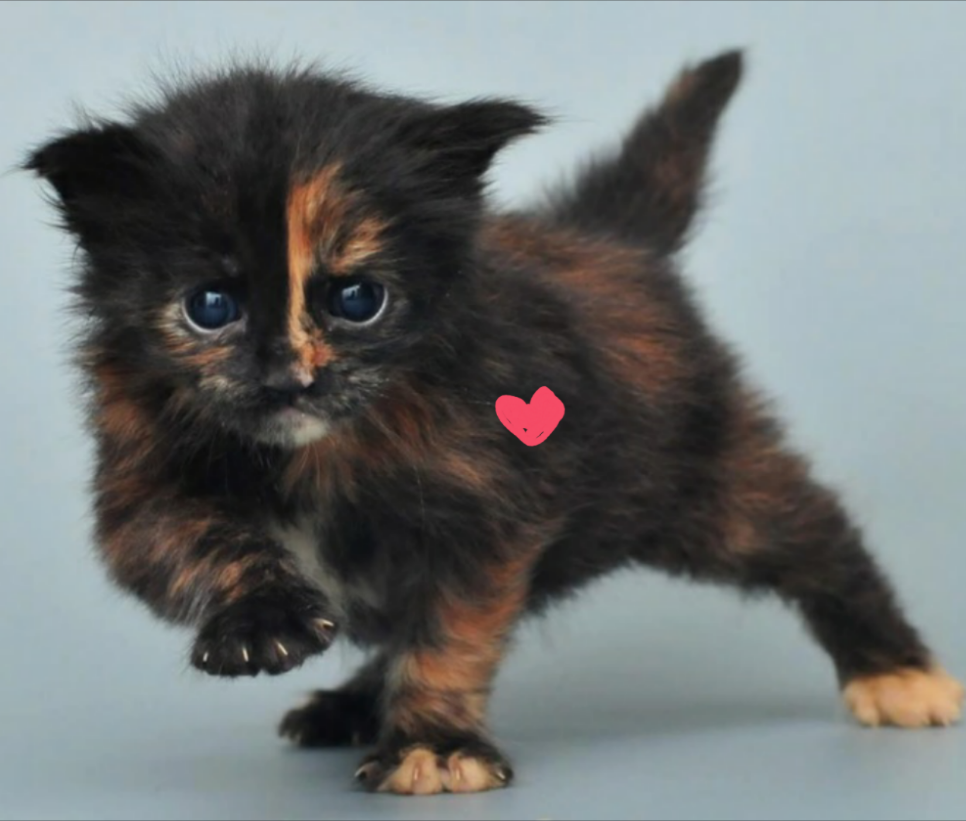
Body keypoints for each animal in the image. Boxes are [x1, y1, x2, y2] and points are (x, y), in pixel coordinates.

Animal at [25, 49, 963, 796]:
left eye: (358, 299)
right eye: (210, 306)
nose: (289, 378)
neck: (322, 449)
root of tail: (610, 244)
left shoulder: (489, 505)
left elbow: (450, 631)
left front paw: (434, 745)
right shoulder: (141, 476)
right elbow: (190, 539)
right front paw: (263, 620)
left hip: (705, 476)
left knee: (814, 532)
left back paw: (899, 670)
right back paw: (350, 701)